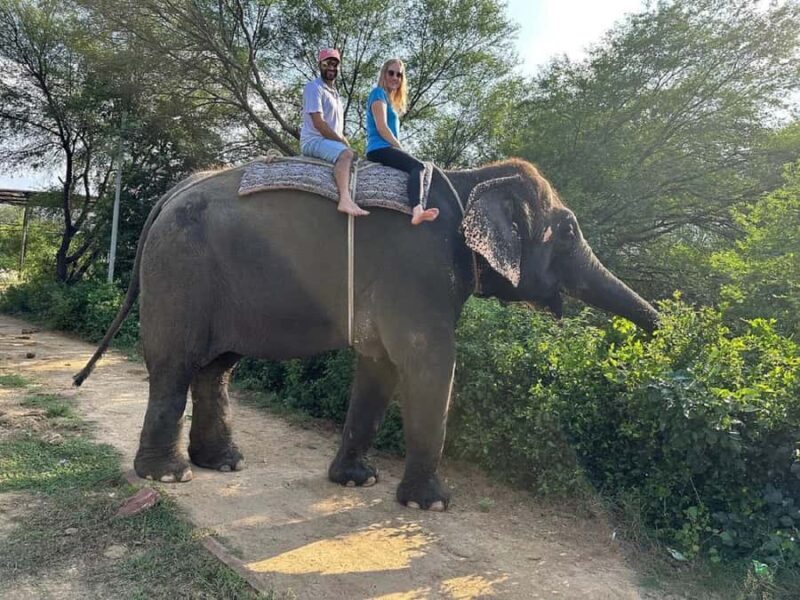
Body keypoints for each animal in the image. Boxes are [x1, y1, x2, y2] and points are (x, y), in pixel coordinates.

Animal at [75, 157, 658, 511]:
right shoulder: (417, 274)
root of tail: (172, 194)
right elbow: (428, 363)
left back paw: (223, 464)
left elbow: (380, 366)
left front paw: (358, 482)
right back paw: (171, 478)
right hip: (181, 270)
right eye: (569, 230)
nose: (661, 331)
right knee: (175, 365)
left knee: (217, 368)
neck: (470, 179)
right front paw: (431, 504)